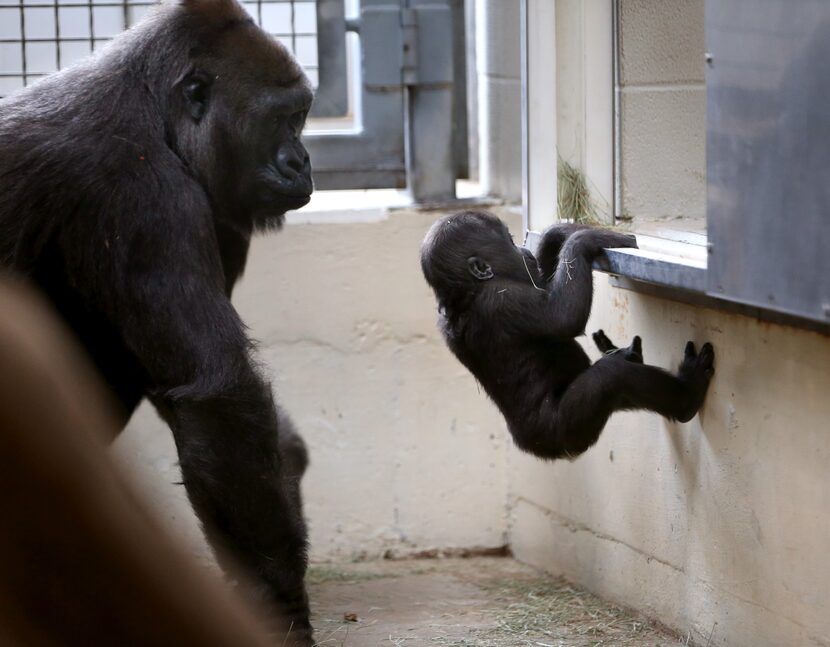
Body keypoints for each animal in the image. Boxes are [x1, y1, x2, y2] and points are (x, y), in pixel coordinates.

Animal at [0, 0, 316, 644]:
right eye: (283, 119)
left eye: (303, 117)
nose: (302, 162)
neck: (152, 109)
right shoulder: (145, 193)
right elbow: (220, 392)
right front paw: (280, 602)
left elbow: (187, 392)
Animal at [422, 210, 716, 458]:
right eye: (510, 241)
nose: (522, 249)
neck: (464, 293)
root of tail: (529, 446)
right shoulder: (501, 299)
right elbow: (562, 316)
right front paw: (586, 239)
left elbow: (543, 279)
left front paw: (558, 231)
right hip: (563, 429)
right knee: (616, 377)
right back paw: (687, 395)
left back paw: (628, 355)